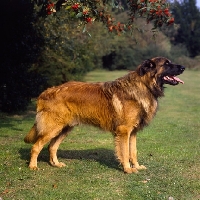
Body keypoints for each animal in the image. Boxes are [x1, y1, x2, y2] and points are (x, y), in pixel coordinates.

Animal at [24, 56, 185, 173]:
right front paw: (128, 169)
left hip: (64, 128)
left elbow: (133, 152)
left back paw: (56, 164)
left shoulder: (133, 132)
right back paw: (33, 166)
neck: (144, 85)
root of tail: (46, 92)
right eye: (167, 63)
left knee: (52, 147)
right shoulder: (124, 131)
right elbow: (125, 152)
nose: (183, 67)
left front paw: (137, 166)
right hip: (53, 128)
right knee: (36, 147)